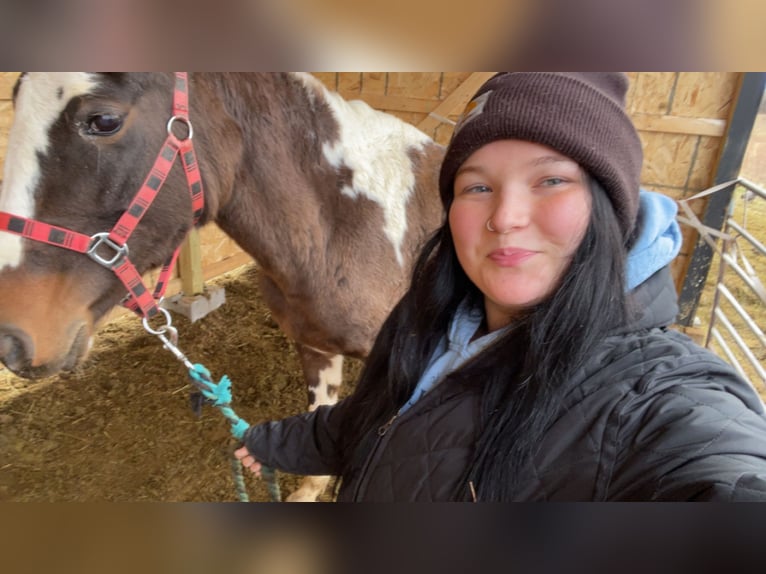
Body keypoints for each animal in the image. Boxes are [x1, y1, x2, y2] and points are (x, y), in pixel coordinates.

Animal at [0, 73, 445, 501]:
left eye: (104, 120)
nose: (10, 340)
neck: (350, 222)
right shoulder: (314, 346)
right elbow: (321, 413)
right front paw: (310, 488)